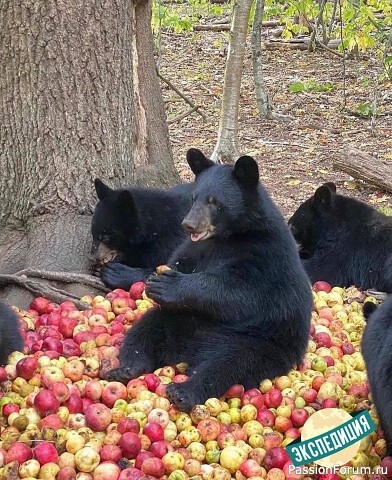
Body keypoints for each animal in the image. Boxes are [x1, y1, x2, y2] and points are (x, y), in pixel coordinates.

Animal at [106, 150, 312, 412]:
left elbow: (243, 293)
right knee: (146, 329)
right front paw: (147, 278)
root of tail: (187, 351)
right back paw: (127, 368)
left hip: (261, 341)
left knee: (229, 362)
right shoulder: (195, 248)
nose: (189, 224)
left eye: (214, 202)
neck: (227, 237)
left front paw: (170, 285)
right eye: (194, 198)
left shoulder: (265, 254)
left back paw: (185, 391)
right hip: (178, 320)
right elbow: (176, 261)